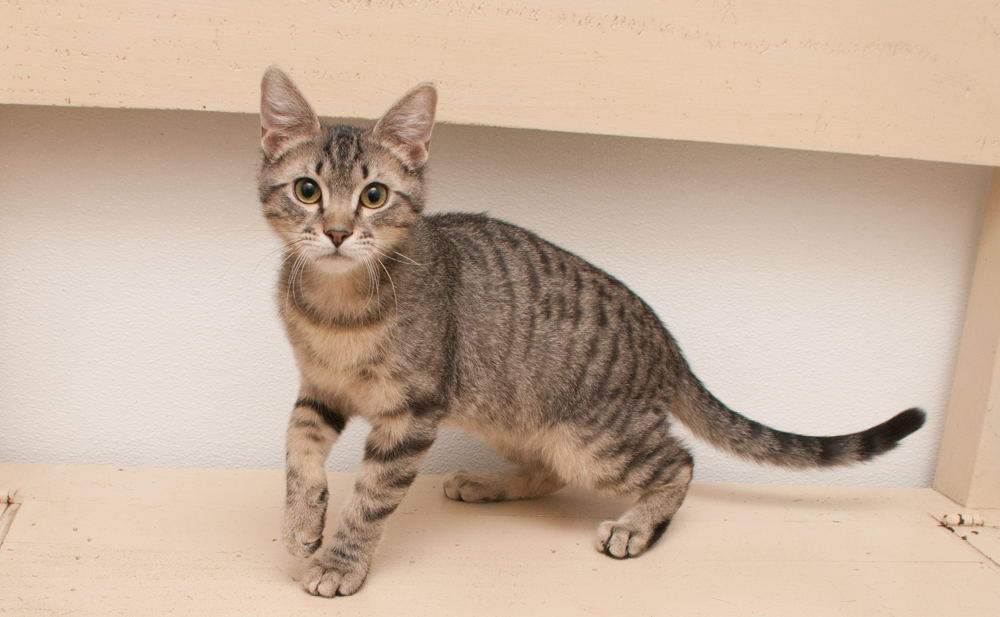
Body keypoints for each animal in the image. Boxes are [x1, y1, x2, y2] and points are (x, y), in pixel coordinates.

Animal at [256, 67, 920, 596]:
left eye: (374, 196)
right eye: (308, 190)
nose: (338, 232)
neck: (337, 309)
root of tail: (665, 341)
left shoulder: (411, 413)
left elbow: (371, 498)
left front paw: (341, 561)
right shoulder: (320, 389)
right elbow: (297, 447)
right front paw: (301, 522)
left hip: (593, 438)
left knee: (678, 461)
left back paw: (635, 527)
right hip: (515, 414)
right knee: (549, 469)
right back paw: (488, 483)